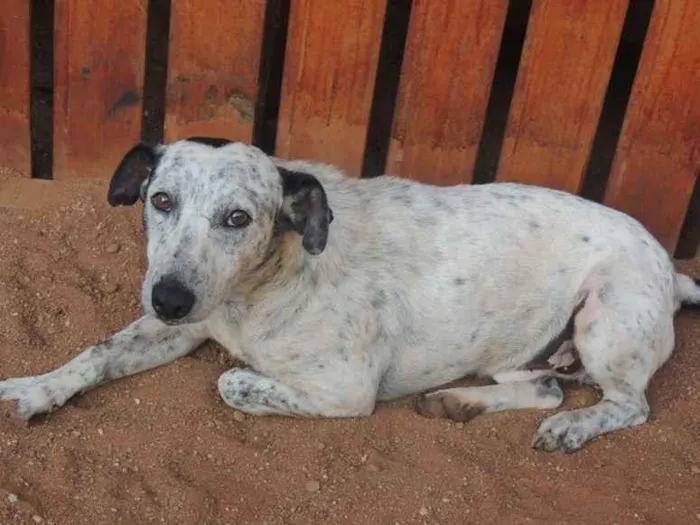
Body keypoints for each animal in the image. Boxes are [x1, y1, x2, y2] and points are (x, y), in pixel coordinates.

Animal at [0, 138, 696, 450]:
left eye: (237, 218)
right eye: (160, 201)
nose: (167, 298)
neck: (261, 284)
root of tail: (672, 265)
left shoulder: (344, 388)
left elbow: (231, 381)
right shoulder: (185, 325)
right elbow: (96, 352)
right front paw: (37, 389)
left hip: (605, 320)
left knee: (629, 405)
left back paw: (573, 426)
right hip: (523, 350)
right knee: (546, 385)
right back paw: (460, 403)